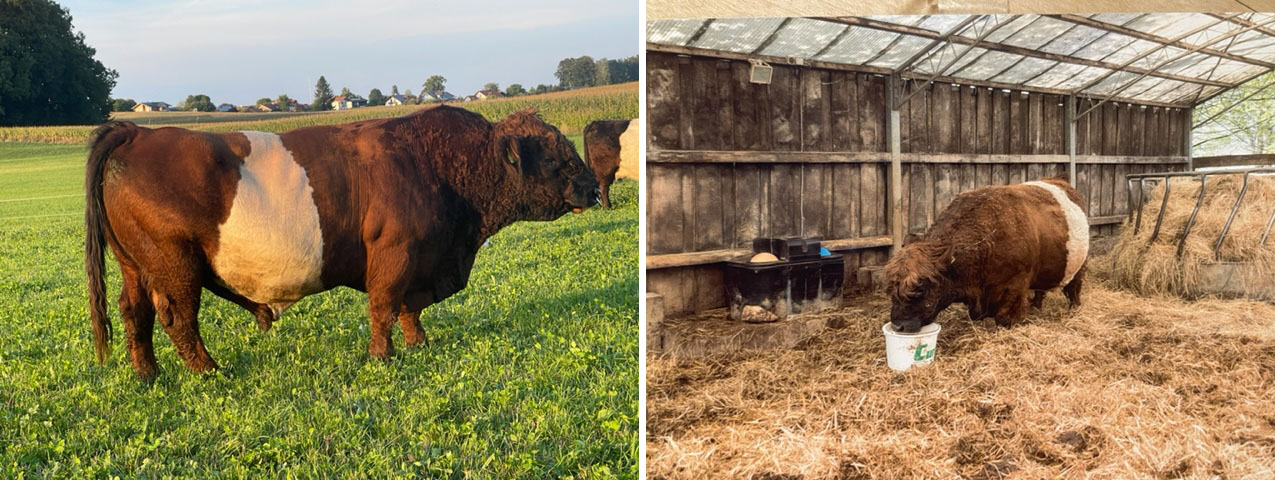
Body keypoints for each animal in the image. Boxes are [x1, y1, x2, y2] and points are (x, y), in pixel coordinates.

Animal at [86, 104, 601, 377]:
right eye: (554, 158)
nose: (594, 187)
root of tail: (136, 132)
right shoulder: (395, 251)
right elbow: (385, 305)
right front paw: (381, 357)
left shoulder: (421, 260)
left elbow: (409, 310)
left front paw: (420, 346)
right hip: (175, 265)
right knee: (177, 319)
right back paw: (208, 371)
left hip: (135, 266)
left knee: (135, 313)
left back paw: (148, 374)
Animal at [882, 178, 1091, 331]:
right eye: (891, 290)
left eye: (920, 289)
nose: (898, 326)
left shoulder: (1014, 287)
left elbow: (1005, 317)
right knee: (1041, 290)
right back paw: (1036, 306)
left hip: (1080, 266)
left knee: (1074, 289)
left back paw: (1074, 309)